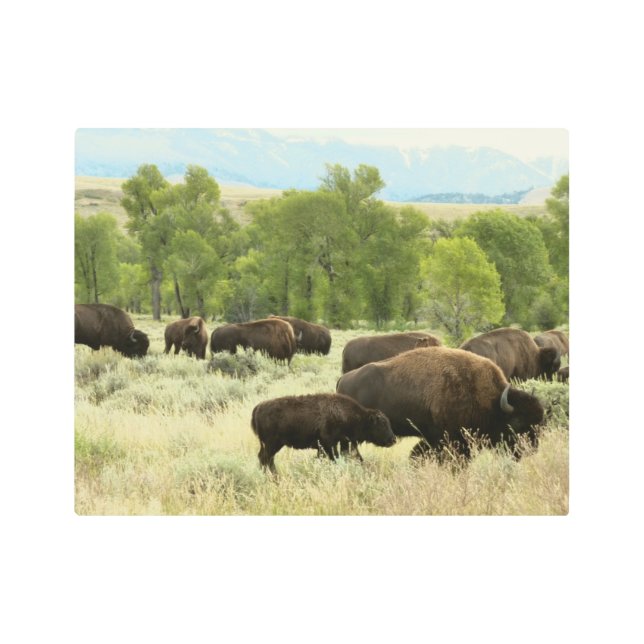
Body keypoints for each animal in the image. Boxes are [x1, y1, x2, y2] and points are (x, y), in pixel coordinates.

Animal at [250, 393, 396, 473]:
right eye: (382, 424)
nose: (393, 439)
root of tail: (258, 407)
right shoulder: (329, 444)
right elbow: (334, 458)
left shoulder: (332, 445)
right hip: (272, 444)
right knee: (265, 459)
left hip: (270, 445)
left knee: (265, 459)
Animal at [336, 346, 544, 461]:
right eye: (517, 423)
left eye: (539, 423)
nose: (531, 450)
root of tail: (343, 380)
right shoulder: (451, 438)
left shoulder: (434, 437)